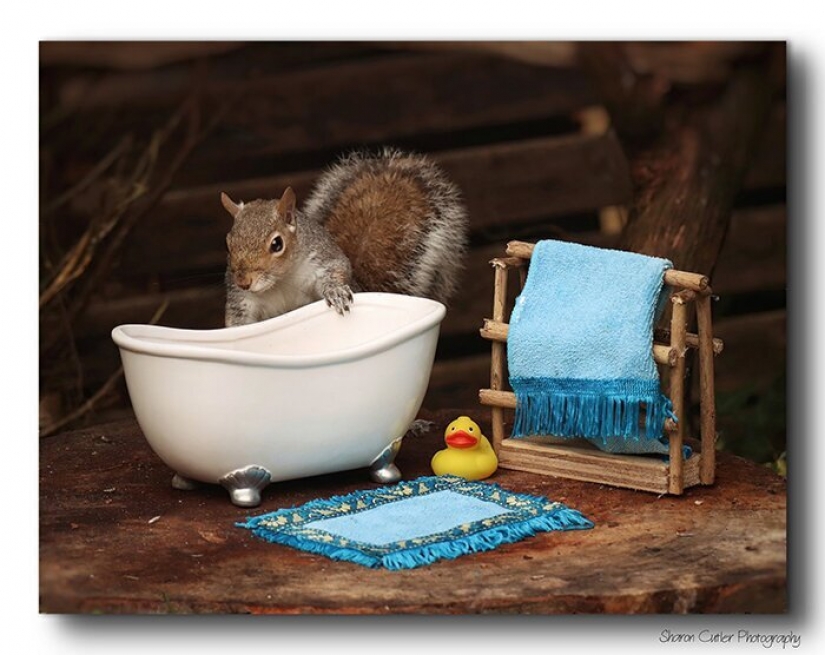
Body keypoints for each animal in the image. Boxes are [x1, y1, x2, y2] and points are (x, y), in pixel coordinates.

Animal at [222, 146, 470, 326]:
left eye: (277, 244)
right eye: (228, 244)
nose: (243, 282)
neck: (281, 281)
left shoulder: (321, 258)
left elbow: (337, 270)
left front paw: (335, 292)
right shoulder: (242, 300)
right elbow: (238, 320)